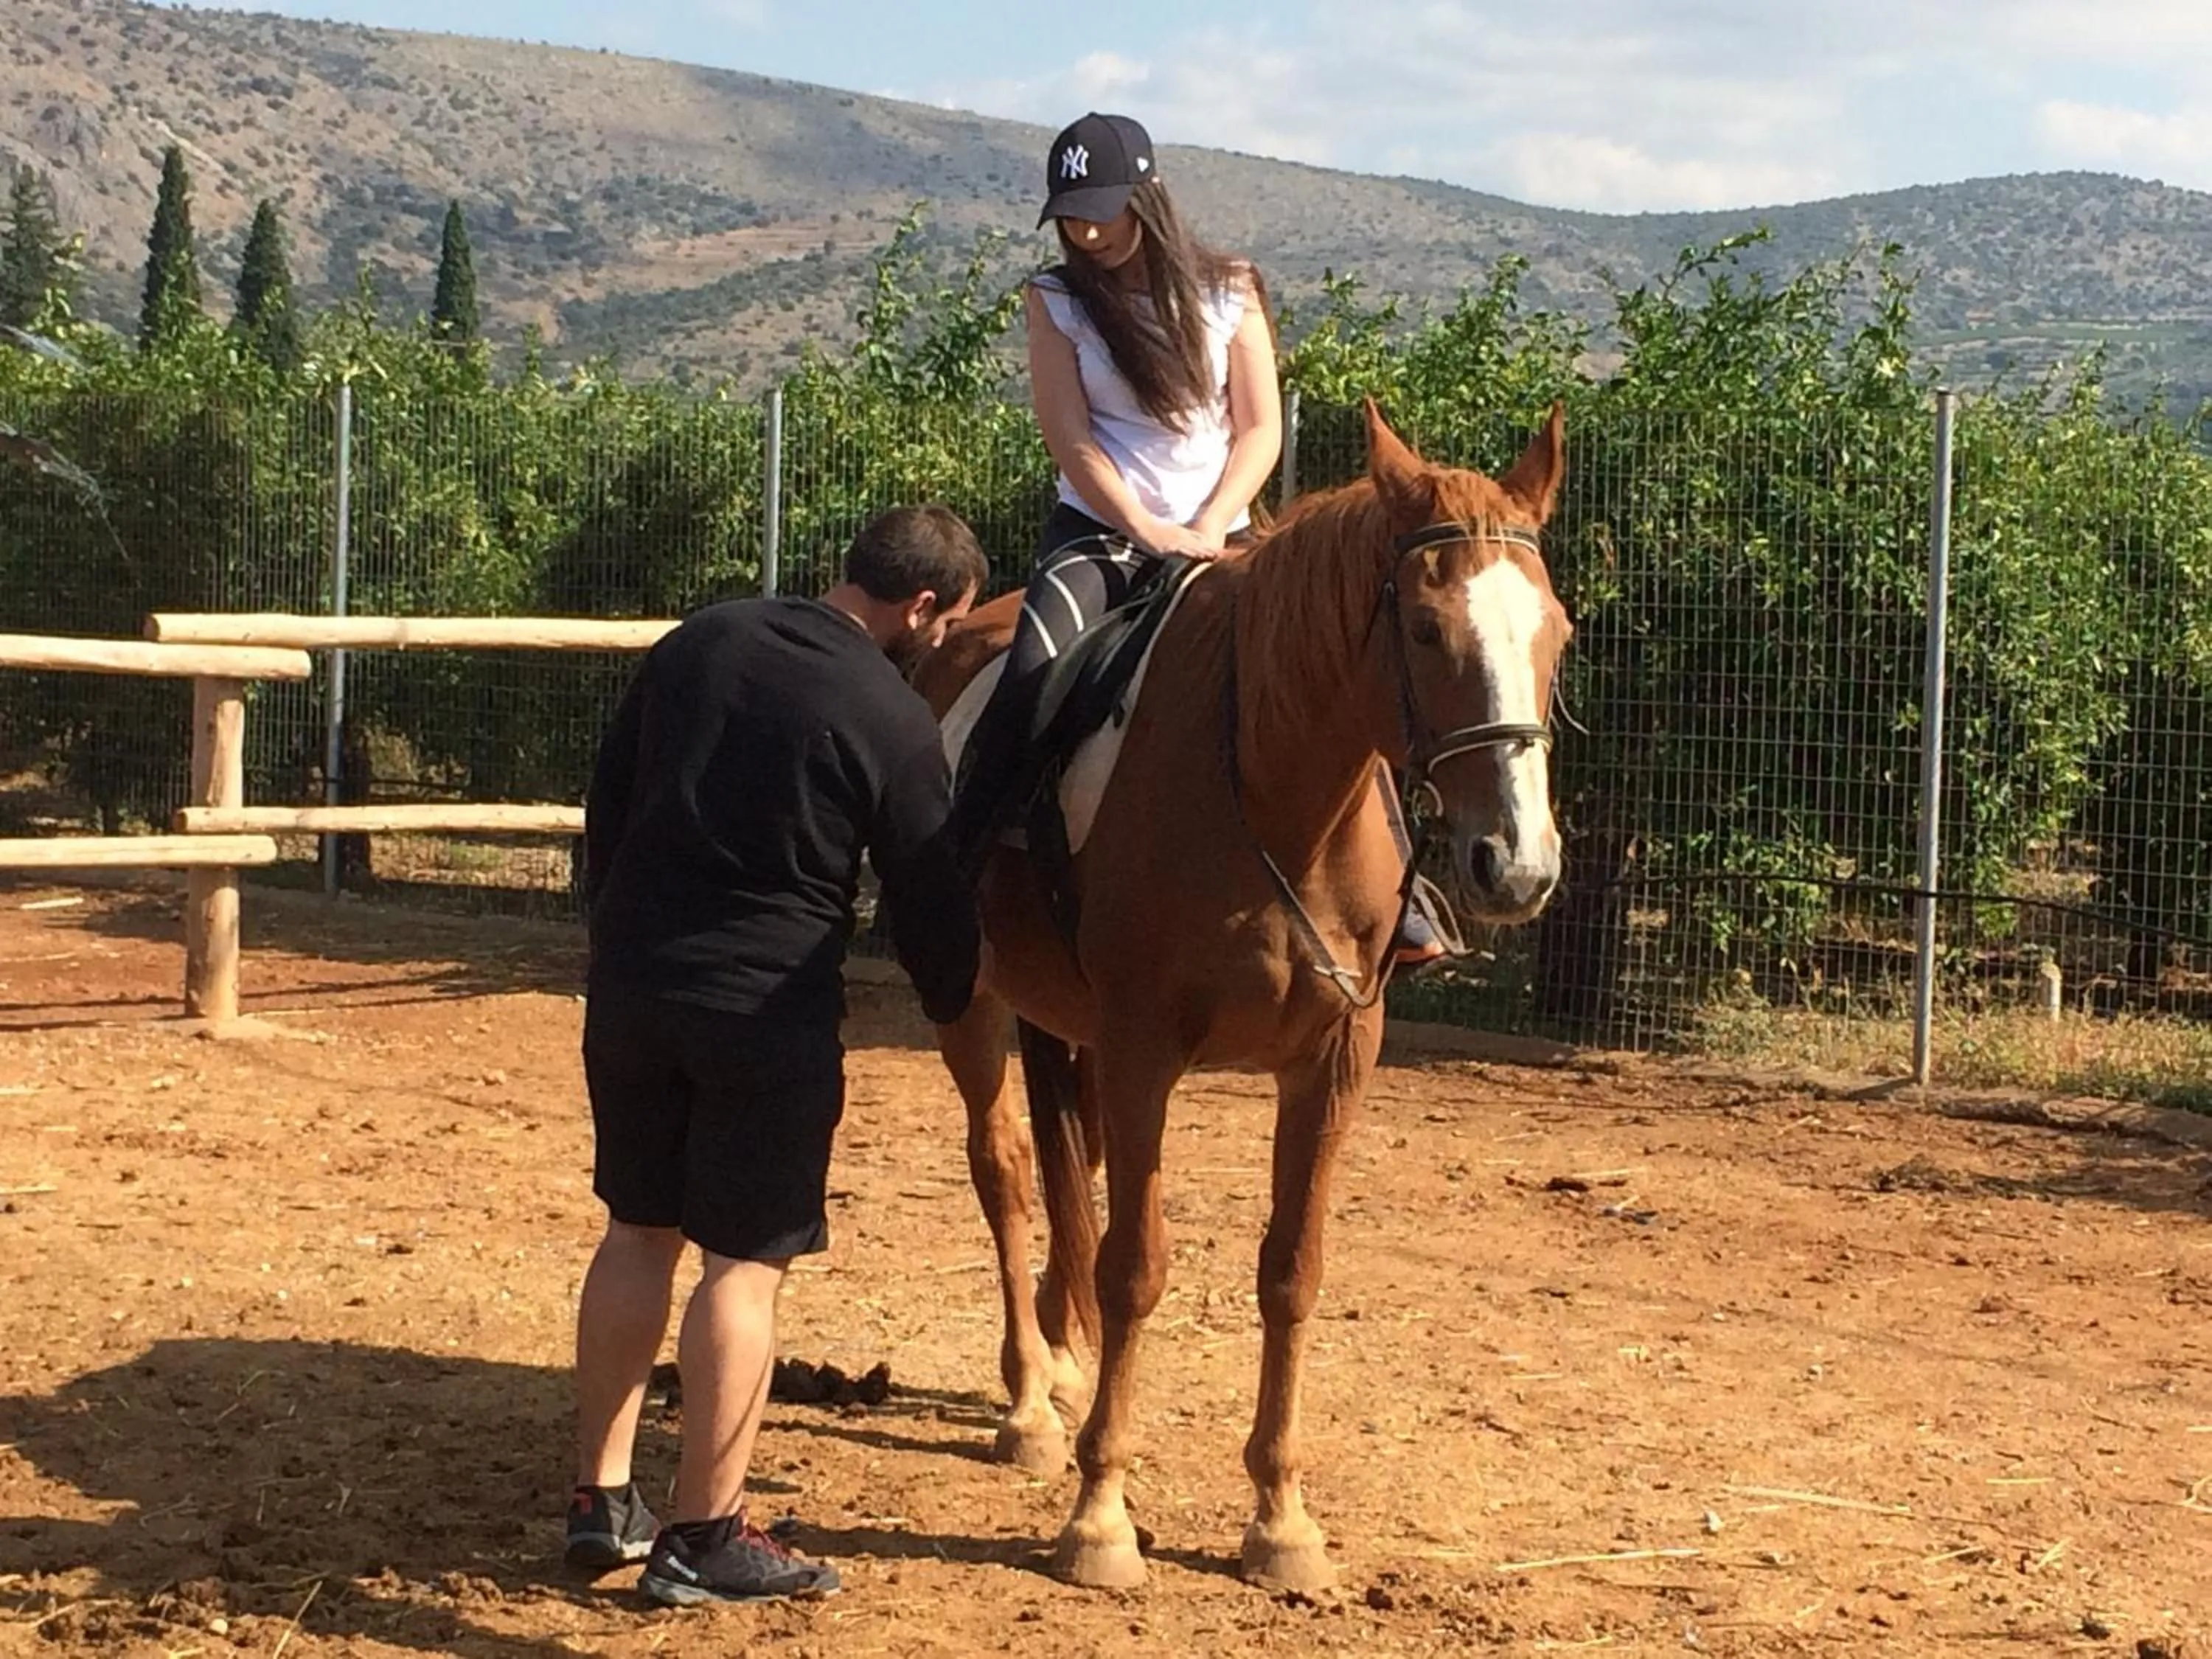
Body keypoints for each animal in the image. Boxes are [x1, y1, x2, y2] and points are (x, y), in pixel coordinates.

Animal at [912, 401, 1572, 1592]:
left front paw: (1280, 1518)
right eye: (1424, 631)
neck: (1275, 800)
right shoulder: (1142, 1051)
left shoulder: (1333, 1060)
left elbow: (1291, 1272)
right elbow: (1136, 1266)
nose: (1518, 867)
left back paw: (1061, 1366)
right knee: (1007, 1171)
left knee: (1064, 1176)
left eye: (1560, 633)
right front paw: (1101, 1518)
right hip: (973, 1003)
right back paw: (1031, 1403)